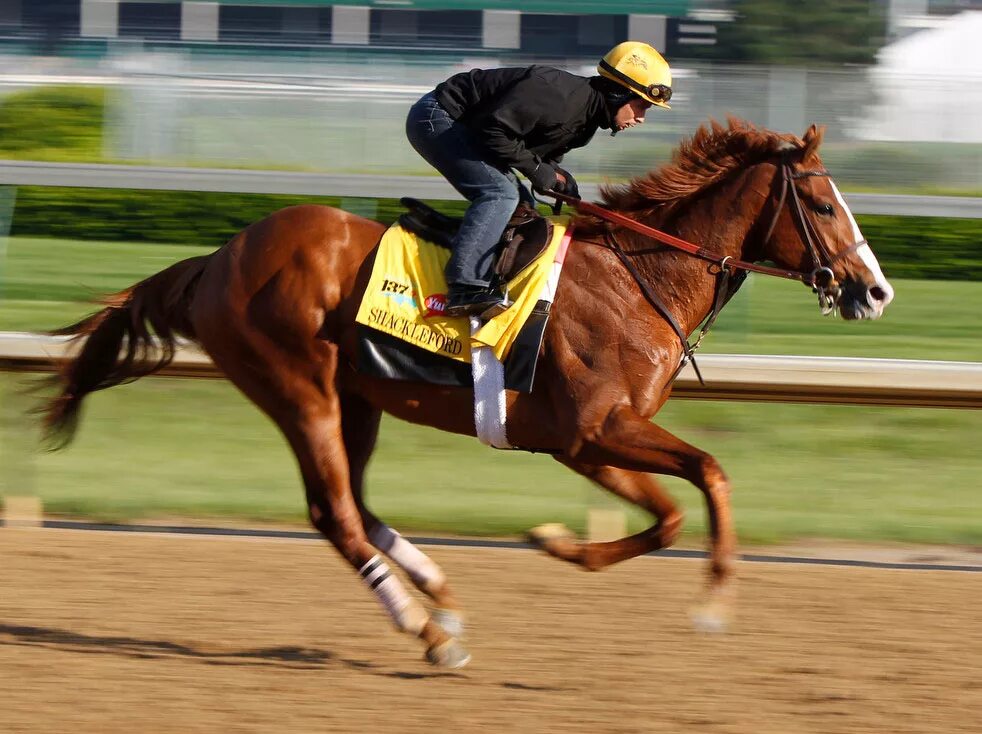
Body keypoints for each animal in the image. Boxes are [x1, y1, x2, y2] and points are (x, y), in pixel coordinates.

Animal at [42, 118, 896, 668]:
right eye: (824, 204)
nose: (876, 291)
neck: (638, 276)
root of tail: (219, 258)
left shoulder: (586, 441)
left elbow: (673, 511)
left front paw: (559, 543)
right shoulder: (592, 430)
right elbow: (706, 478)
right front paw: (711, 601)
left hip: (357, 399)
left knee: (353, 506)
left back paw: (438, 595)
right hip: (298, 389)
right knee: (334, 514)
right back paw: (427, 629)